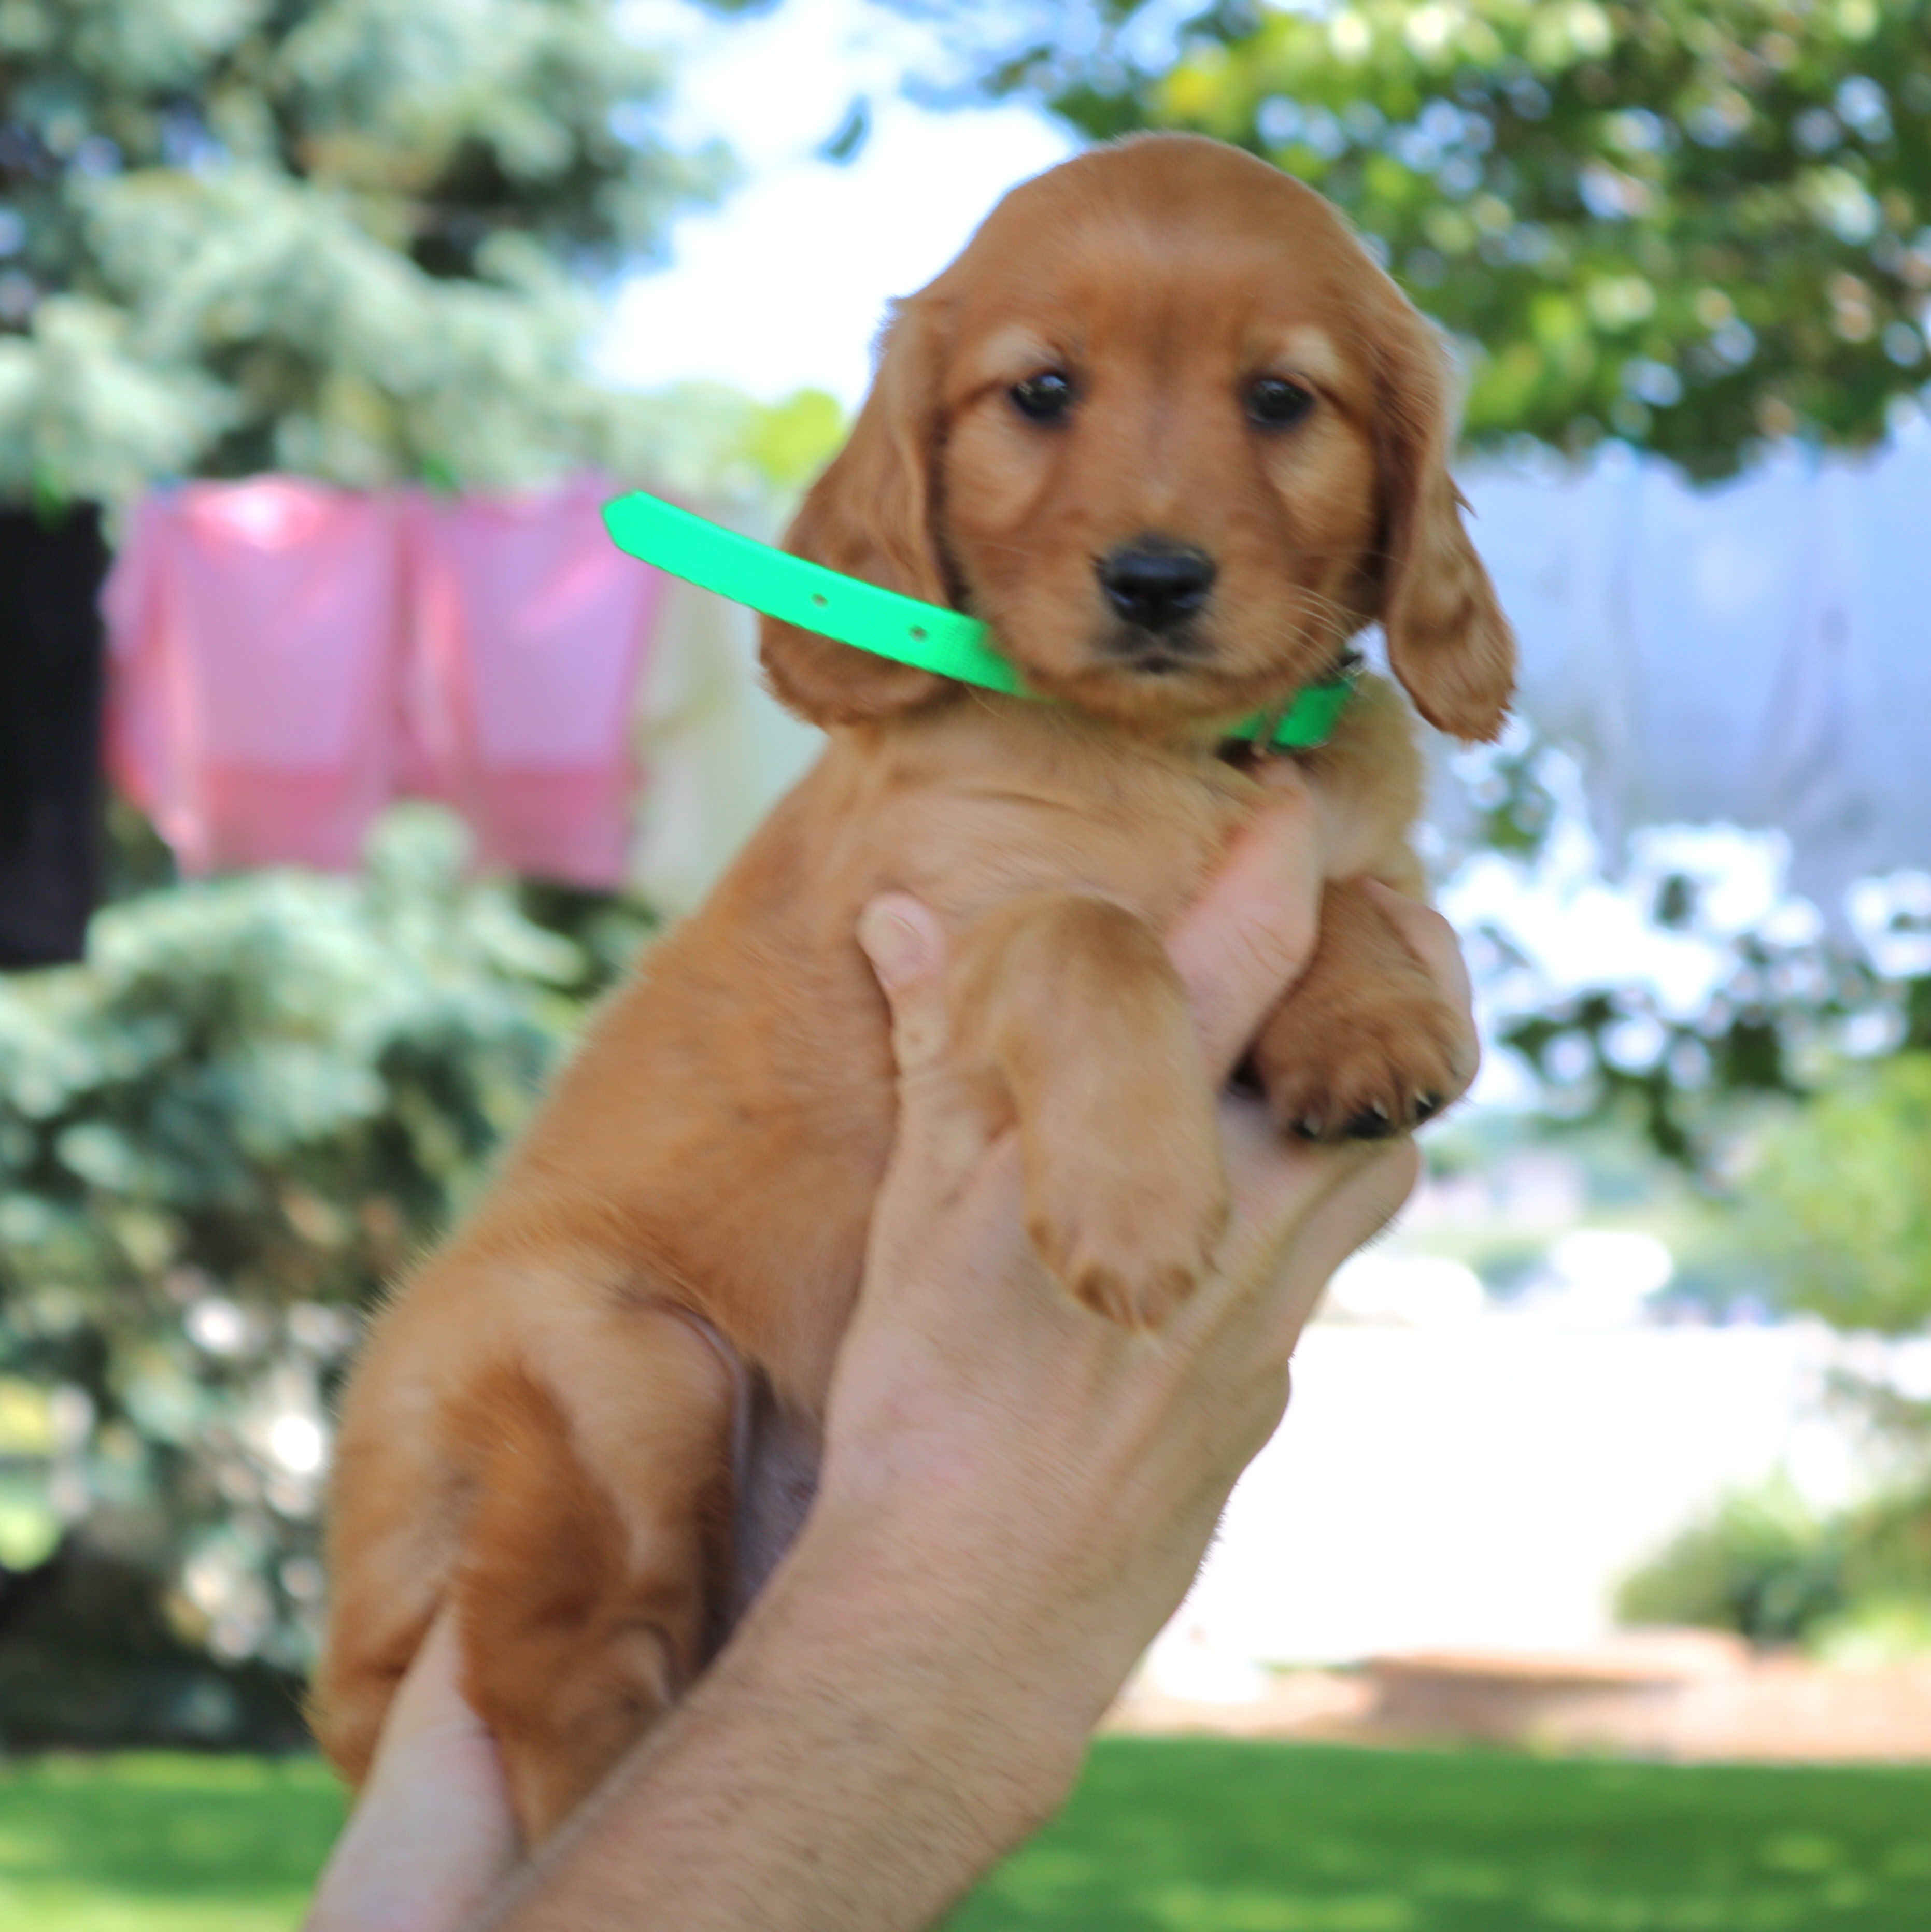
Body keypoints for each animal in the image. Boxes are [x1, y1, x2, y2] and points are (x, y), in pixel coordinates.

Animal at [309, 132, 1515, 1839]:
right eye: (1042, 391)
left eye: (1282, 398)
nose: (1156, 580)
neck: (1163, 758)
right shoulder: (947, 921)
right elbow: (1094, 935)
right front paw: (1141, 1206)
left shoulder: (1332, 832)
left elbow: (1353, 889)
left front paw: (1371, 1019)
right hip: (618, 1365)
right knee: (548, 1666)